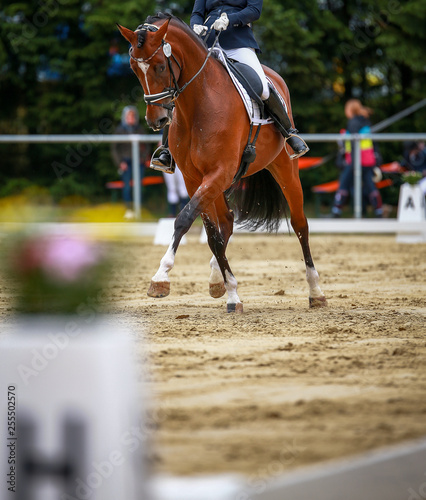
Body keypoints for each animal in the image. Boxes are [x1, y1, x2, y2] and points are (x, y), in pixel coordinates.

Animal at [117, 13, 326, 312]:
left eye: (160, 66)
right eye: (135, 68)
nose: (157, 120)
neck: (198, 104)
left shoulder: (219, 172)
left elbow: (184, 220)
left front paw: (160, 278)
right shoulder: (194, 178)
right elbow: (210, 232)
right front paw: (231, 291)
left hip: (284, 167)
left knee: (300, 224)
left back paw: (316, 291)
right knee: (225, 222)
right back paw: (217, 279)